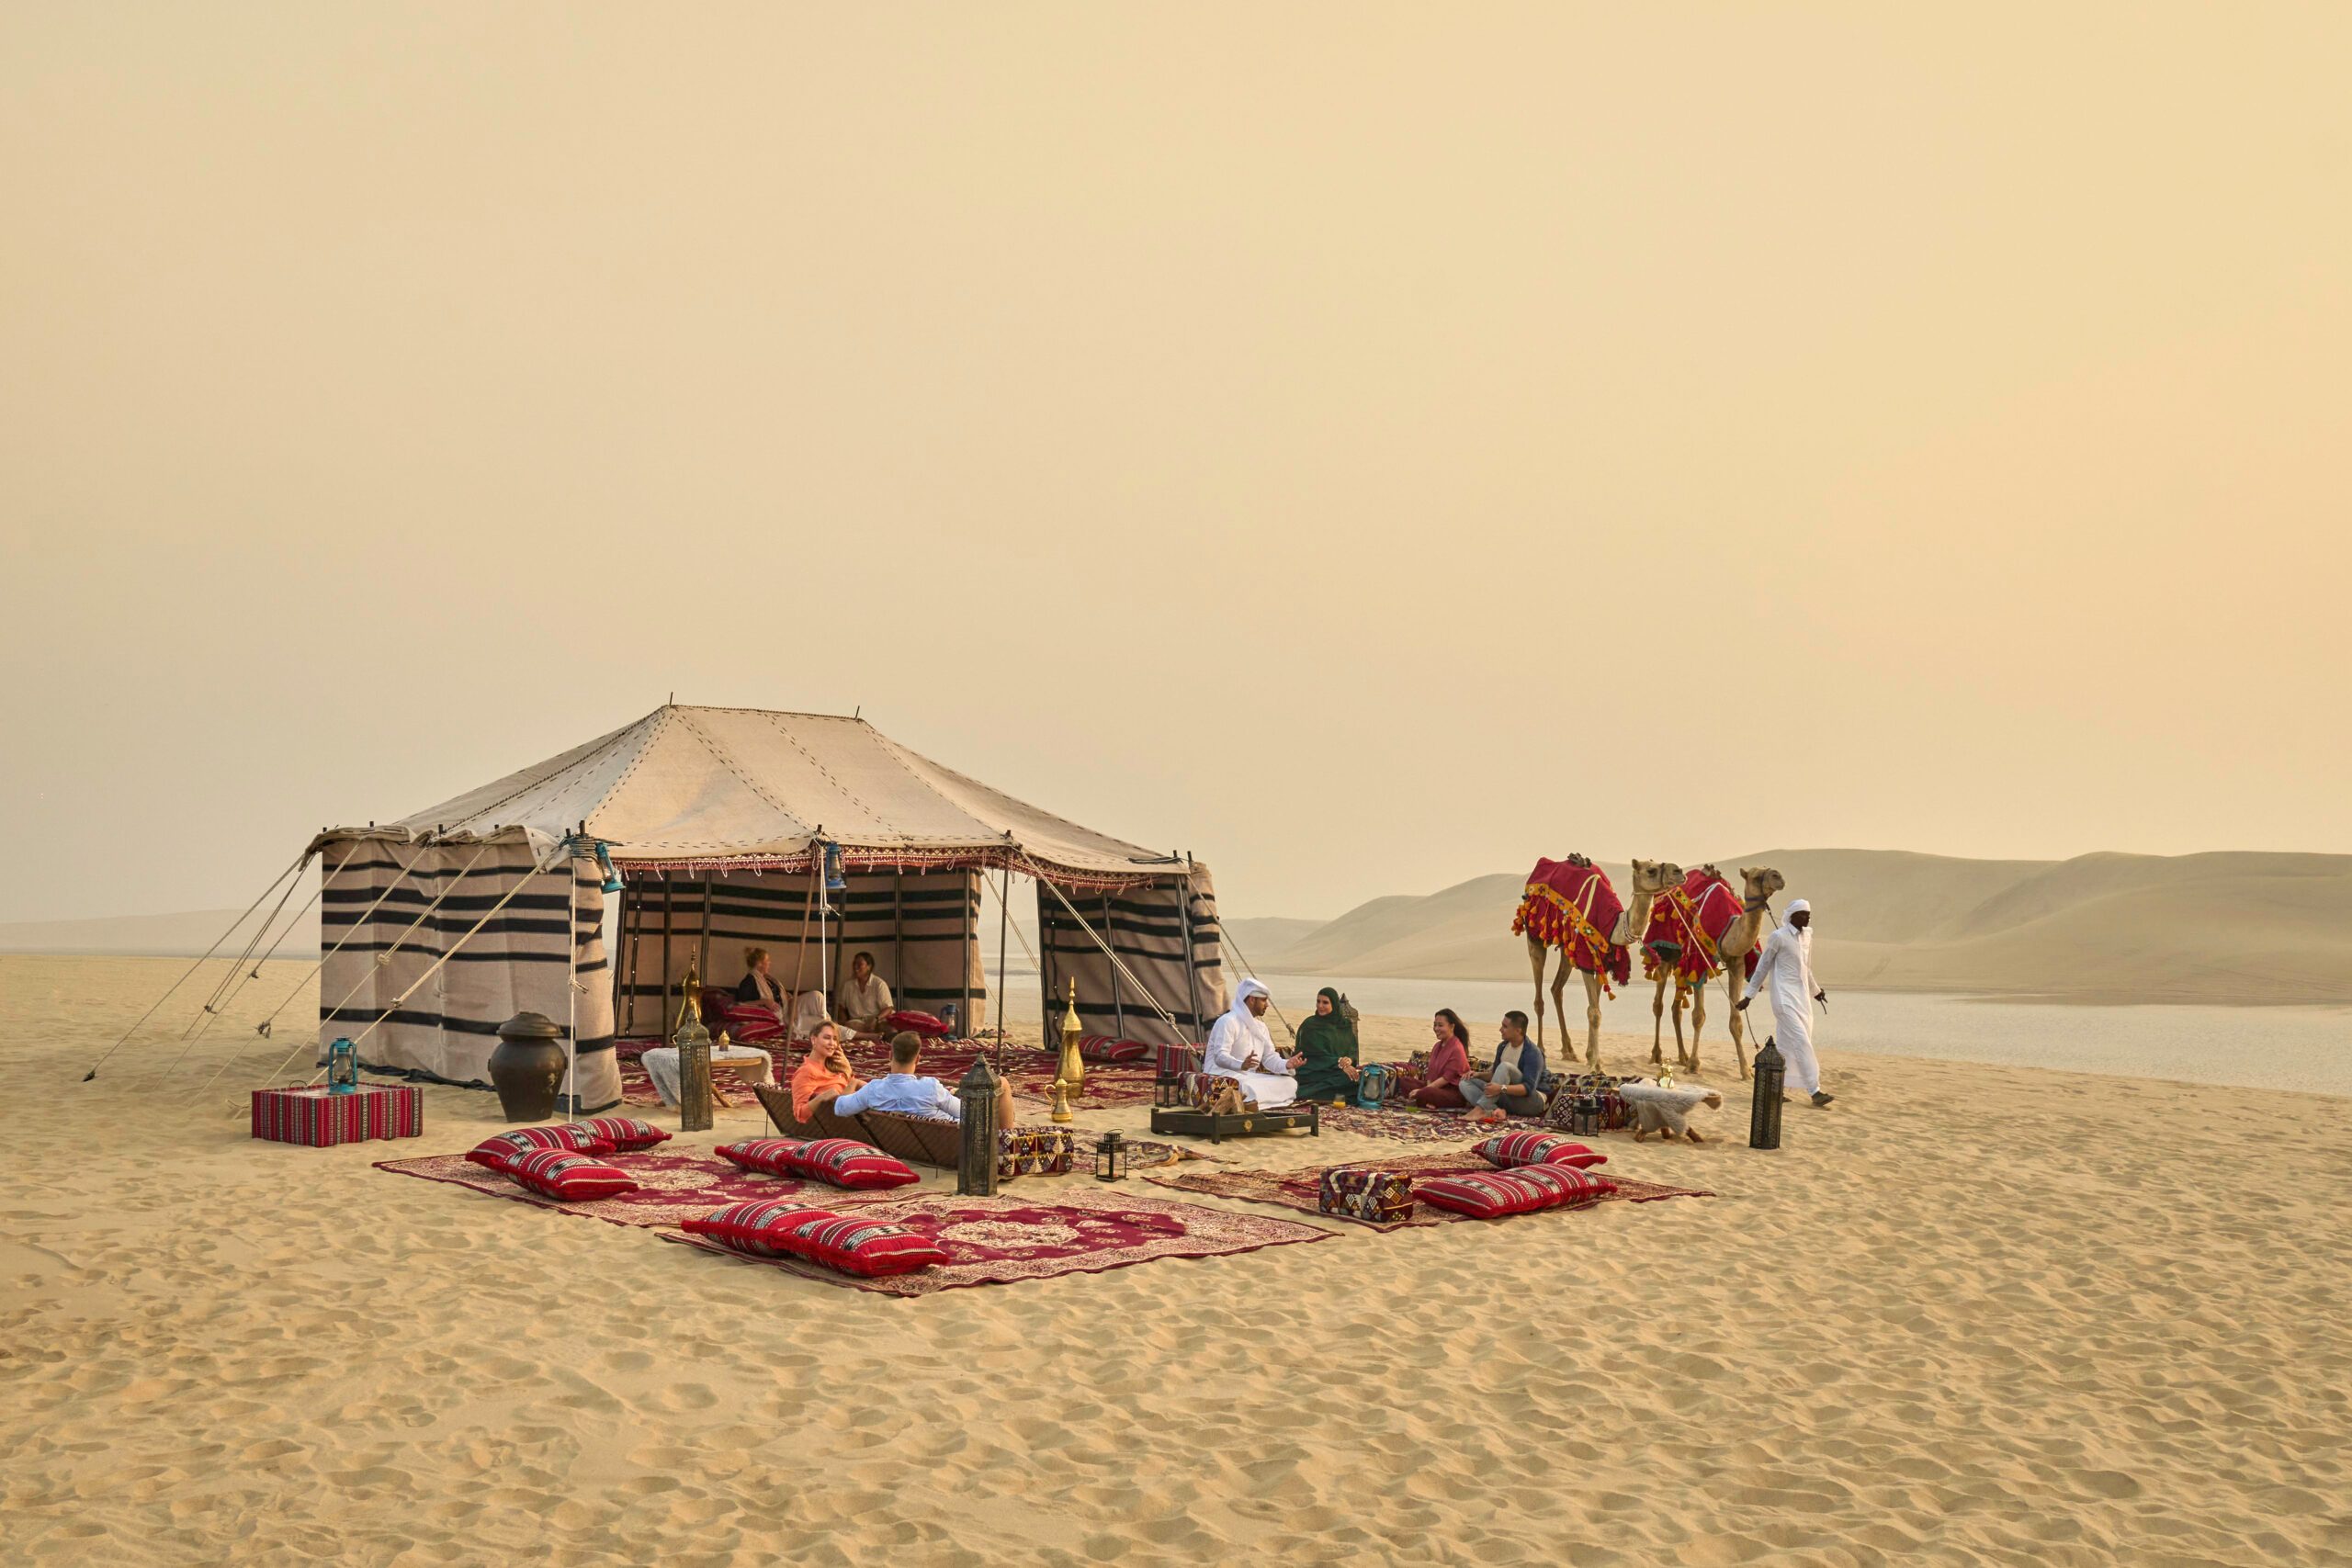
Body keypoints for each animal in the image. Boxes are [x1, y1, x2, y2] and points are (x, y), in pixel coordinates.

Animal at [1523, 860, 1693, 1081]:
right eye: (1651, 870)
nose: (1679, 871)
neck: (1613, 925)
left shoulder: (1601, 962)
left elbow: (1594, 1008)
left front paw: (1591, 1058)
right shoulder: (1586, 956)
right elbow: (1594, 1012)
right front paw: (1597, 1066)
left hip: (1567, 947)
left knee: (1556, 989)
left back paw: (1569, 1051)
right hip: (1535, 936)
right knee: (1539, 997)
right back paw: (1541, 1050)